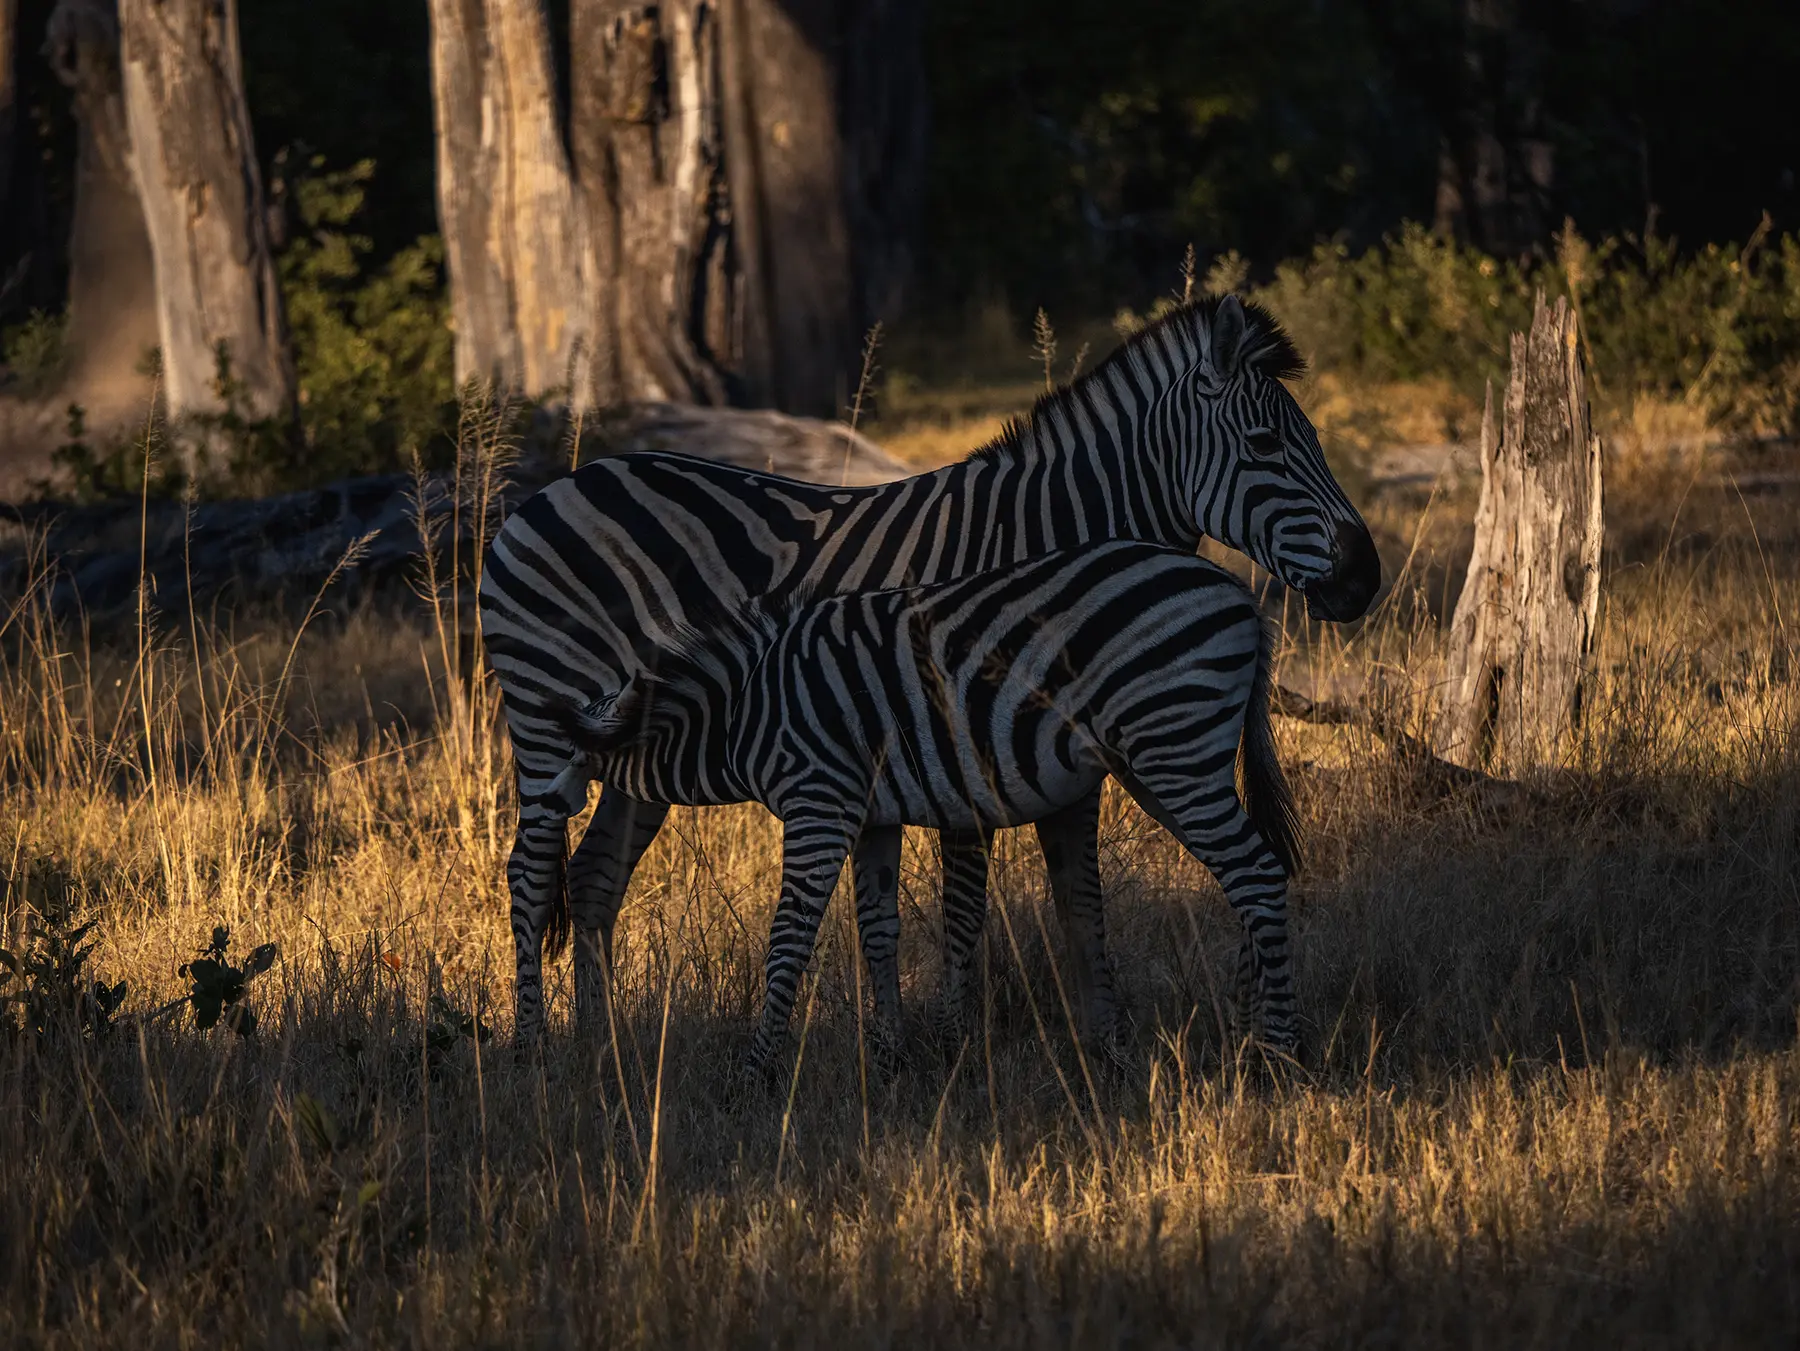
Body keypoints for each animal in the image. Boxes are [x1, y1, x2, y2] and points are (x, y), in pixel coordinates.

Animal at [548, 541, 1301, 1067]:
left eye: (562, 754)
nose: (550, 806)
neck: (742, 713)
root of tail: (1239, 593)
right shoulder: (871, 817)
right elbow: (878, 930)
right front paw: (889, 1054)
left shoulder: (820, 801)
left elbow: (789, 934)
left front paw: (758, 1069)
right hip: (1160, 760)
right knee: (1251, 873)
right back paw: (1245, 1028)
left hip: (1174, 743)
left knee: (1257, 875)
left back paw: (1277, 1048)